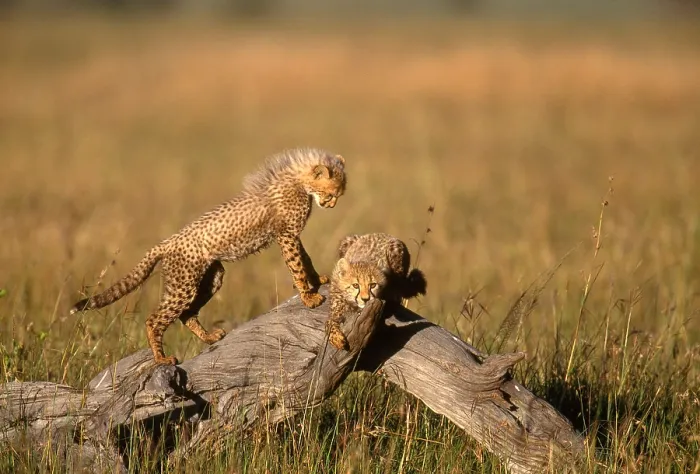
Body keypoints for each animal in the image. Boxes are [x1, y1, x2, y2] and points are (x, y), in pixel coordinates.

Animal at [70, 147, 347, 366]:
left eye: (338, 195)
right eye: (332, 193)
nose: (332, 205)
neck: (298, 181)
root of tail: (166, 242)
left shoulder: (291, 234)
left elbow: (305, 259)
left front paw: (318, 280)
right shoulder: (287, 234)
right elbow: (296, 264)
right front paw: (309, 297)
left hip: (210, 277)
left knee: (187, 314)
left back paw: (209, 337)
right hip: (183, 285)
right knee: (155, 319)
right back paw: (161, 359)